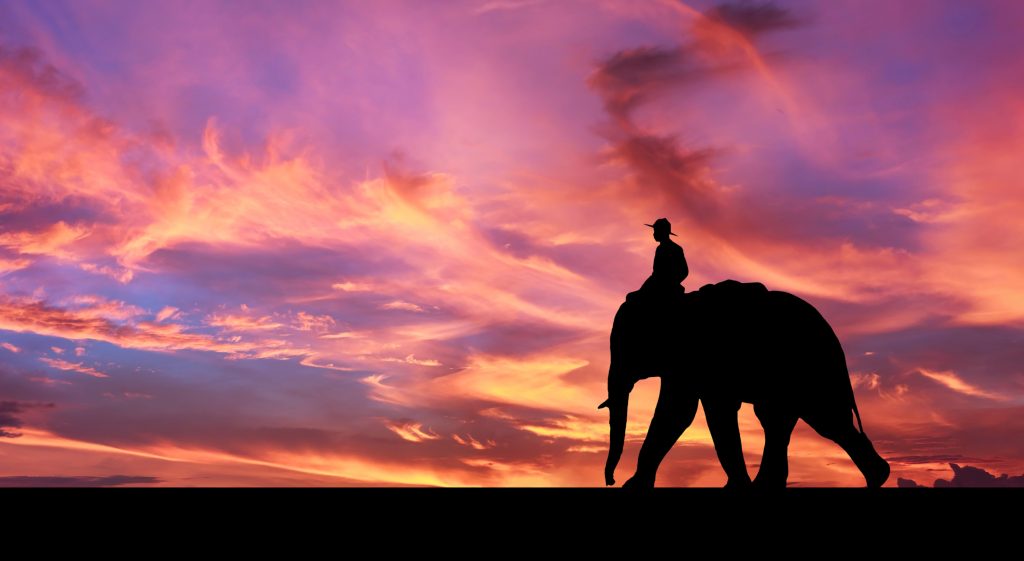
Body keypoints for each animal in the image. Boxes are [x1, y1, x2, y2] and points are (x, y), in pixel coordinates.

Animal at [598, 278, 888, 487]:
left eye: (627, 345)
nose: (610, 480)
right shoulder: (685, 364)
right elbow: (679, 412)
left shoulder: (705, 358)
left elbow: (693, 411)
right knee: (784, 420)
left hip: (812, 370)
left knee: (824, 420)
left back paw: (878, 477)